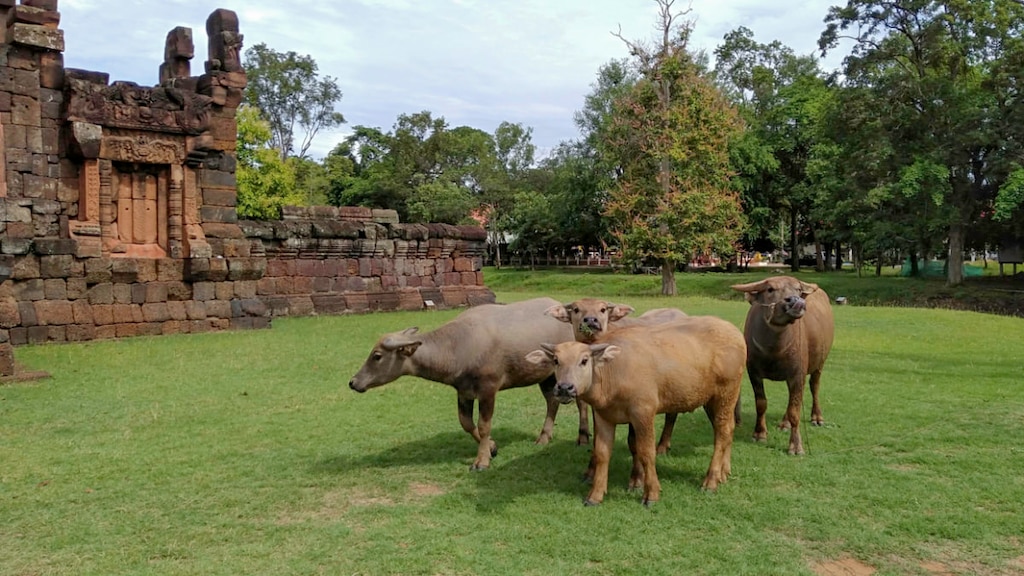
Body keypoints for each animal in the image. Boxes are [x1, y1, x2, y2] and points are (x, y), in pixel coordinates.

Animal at [350, 297, 581, 469]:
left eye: (377, 356)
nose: (353, 382)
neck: (459, 346)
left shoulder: (488, 390)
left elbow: (484, 425)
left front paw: (482, 461)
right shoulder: (463, 391)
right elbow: (466, 423)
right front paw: (492, 447)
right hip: (545, 376)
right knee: (552, 401)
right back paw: (544, 437)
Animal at [528, 315, 745, 504]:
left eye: (584, 360)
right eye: (556, 361)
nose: (565, 388)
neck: (613, 372)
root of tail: (734, 333)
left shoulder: (643, 413)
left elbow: (646, 452)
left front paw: (651, 493)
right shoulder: (603, 416)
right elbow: (602, 453)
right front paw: (595, 495)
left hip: (726, 393)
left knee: (722, 433)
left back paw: (711, 480)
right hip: (711, 399)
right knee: (727, 430)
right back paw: (724, 472)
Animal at [544, 297, 688, 450]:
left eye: (602, 309)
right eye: (576, 309)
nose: (591, 320)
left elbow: (632, 438)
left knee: (671, 415)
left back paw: (662, 446)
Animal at [729, 276, 831, 455]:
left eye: (798, 289)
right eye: (770, 289)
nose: (795, 301)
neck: (774, 349)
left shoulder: (797, 374)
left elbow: (795, 411)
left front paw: (796, 446)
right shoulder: (754, 373)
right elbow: (761, 404)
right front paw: (759, 433)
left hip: (819, 364)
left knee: (814, 387)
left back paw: (816, 418)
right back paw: (785, 423)